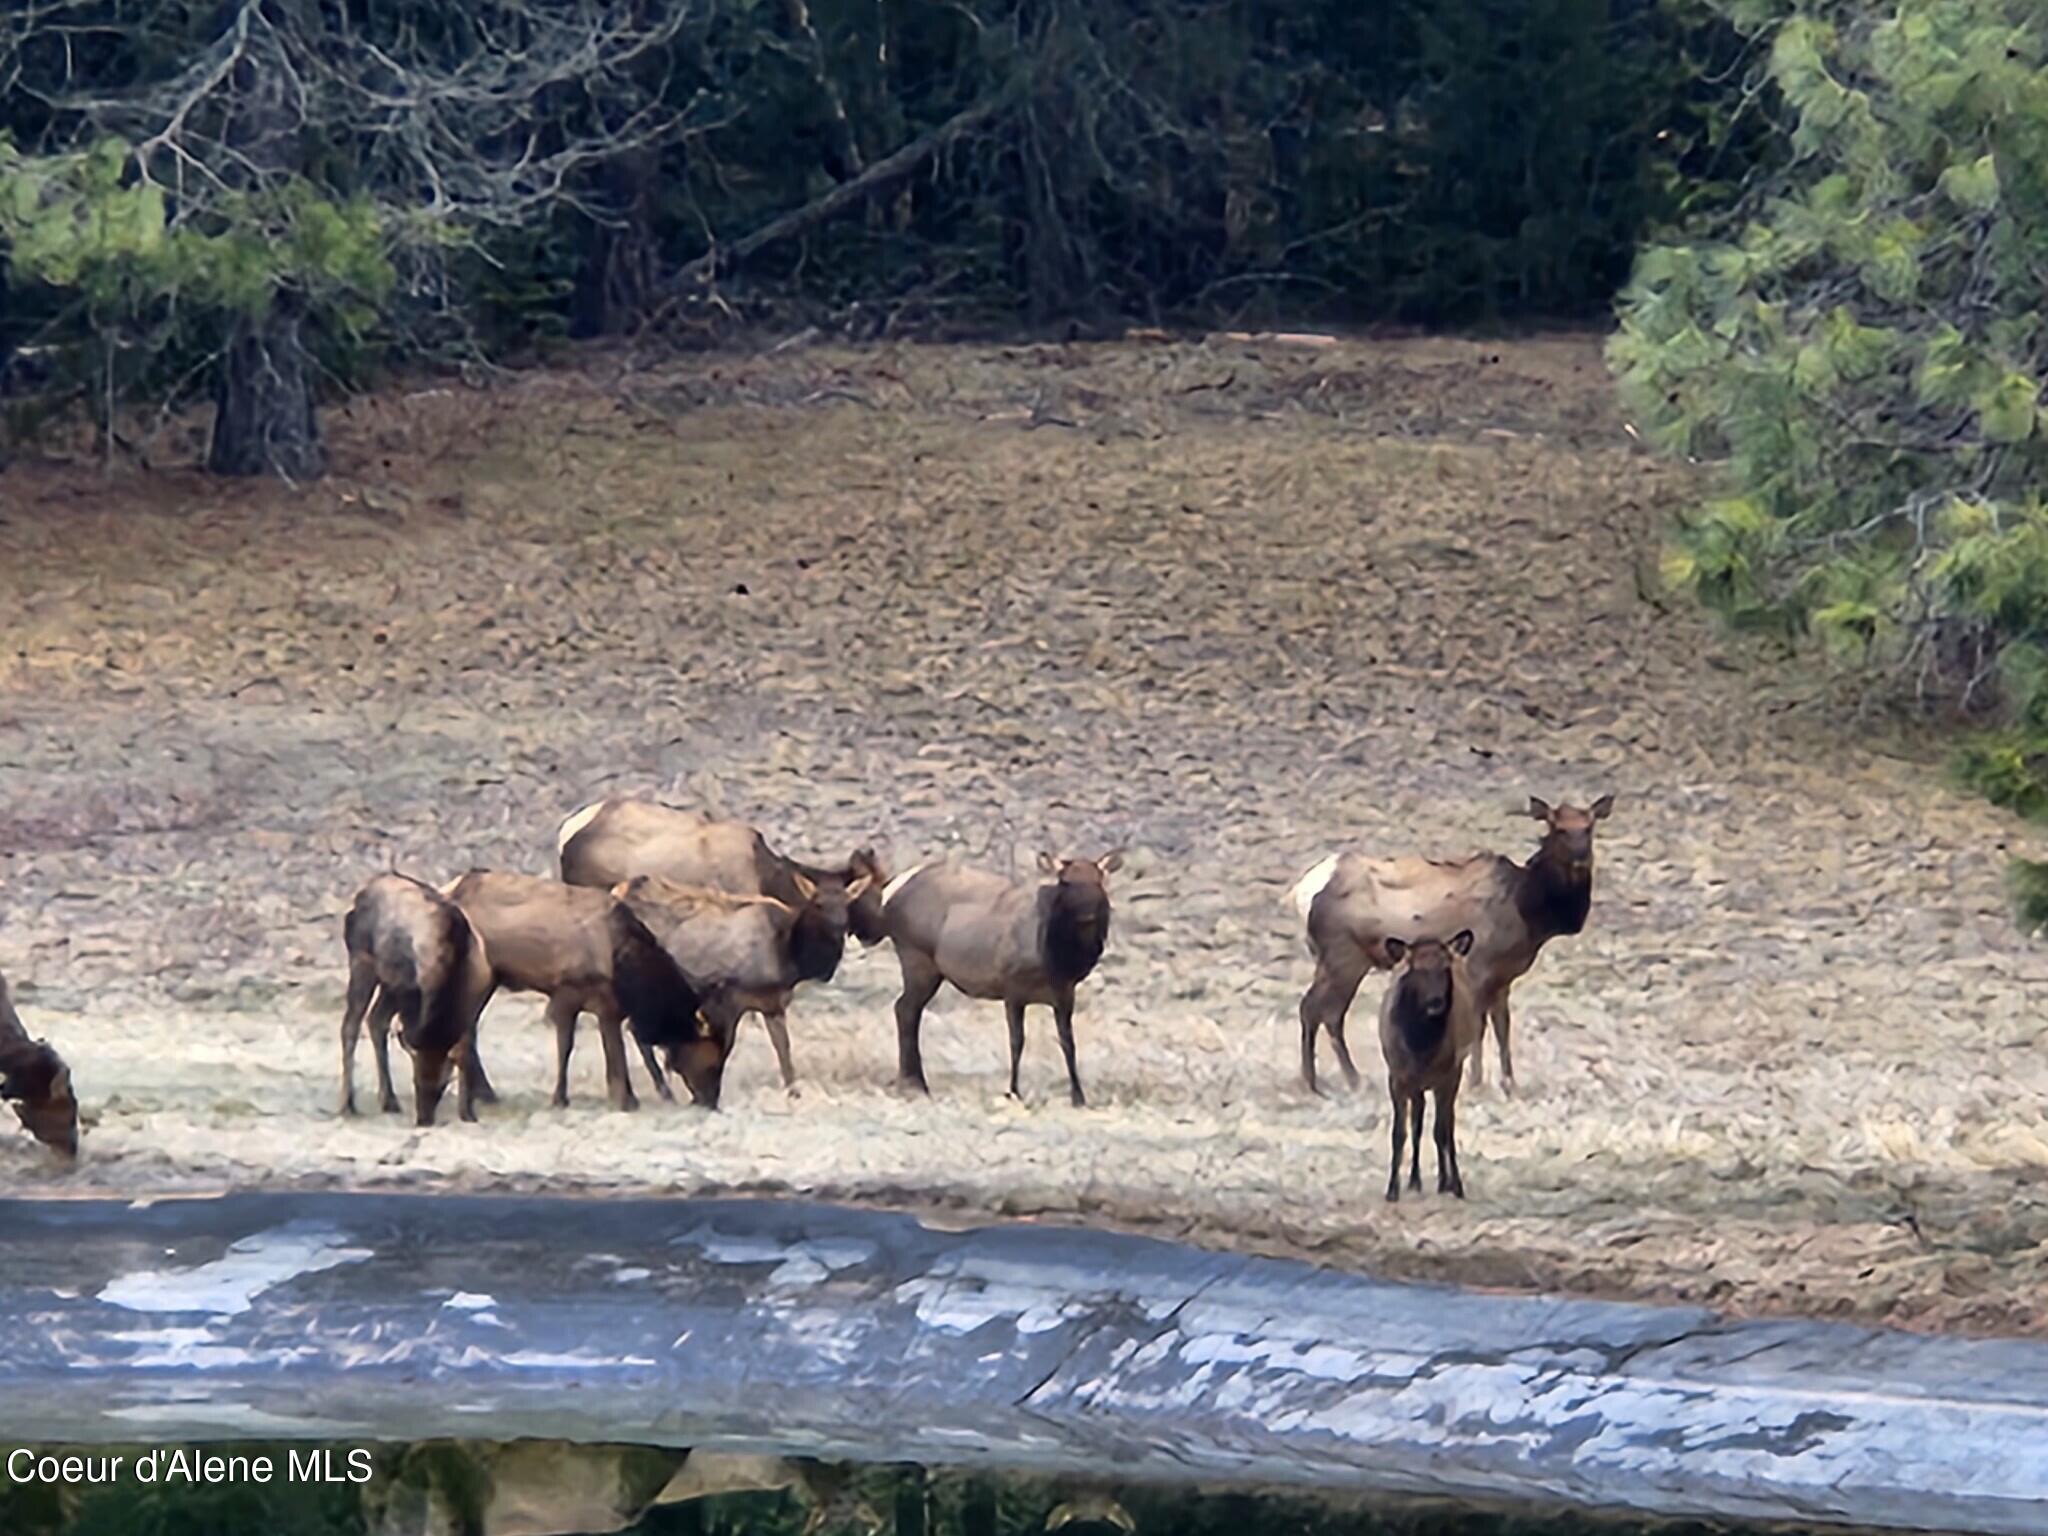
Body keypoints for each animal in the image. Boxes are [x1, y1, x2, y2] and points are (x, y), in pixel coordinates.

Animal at [339, 873, 496, 1126]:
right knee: (351, 1025)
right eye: (415, 1081)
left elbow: (466, 1050)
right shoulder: (412, 995)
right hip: (363, 962)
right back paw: (347, 1104)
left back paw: (389, 1099)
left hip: (389, 985)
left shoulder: (472, 1006)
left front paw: (467, 1112)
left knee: (375, 1020)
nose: (424, 1119)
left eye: (443, 1085)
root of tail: (361, 893)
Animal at [440, 870, 728, 1111]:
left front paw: (626, 1097)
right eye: (712, 1062)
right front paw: (563, 1098)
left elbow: (613, 1049)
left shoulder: (609, 1004)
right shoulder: (567, 992)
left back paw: (483, 1093)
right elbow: (570, 1046)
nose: (711, 1102)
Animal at [879, 850, 1121, 1106]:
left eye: (1098, 881)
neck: (1054, 959)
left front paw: (1078, 1096)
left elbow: (1068, 1043)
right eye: (1065, 882)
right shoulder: (1012, 987)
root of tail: (890, 893)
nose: (1087, 915)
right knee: (904, 1008)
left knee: (907, 1009)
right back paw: (914, 1083)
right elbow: (1017, 1041)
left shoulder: (1065, 992)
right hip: (916, 956)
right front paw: (1013, 1090)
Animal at [1294, 794, 1614, 1096]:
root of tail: (1302, 892)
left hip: (1332, 959)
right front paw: (1476, 1082)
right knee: (1321, 1010)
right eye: (1557, 828)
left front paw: (1510, 1084)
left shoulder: (1503, 977)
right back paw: (1329, 1081)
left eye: (1589, 826)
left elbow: (1503, 1026)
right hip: (1344, 957)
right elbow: (1479, 1026)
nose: (1580, 858)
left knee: (1318, 1009)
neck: (1530, 911)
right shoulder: (1478, 966)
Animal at [1379, 931, 1481, 1202]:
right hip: (1418, 1085)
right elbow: (1400, 1133)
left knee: (1444, 1126)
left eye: (1445, 967)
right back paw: (1415, 1179)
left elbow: (1442, 1131)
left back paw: (1446, 1181)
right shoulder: (1397, 1076)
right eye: (1417, 969)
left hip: (1447, 1077)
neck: (1421, 1046)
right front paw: (1392, 1189)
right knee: (1417, 1124)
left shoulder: (1449, 1075)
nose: (1436, 1001)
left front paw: (1453, 1184)